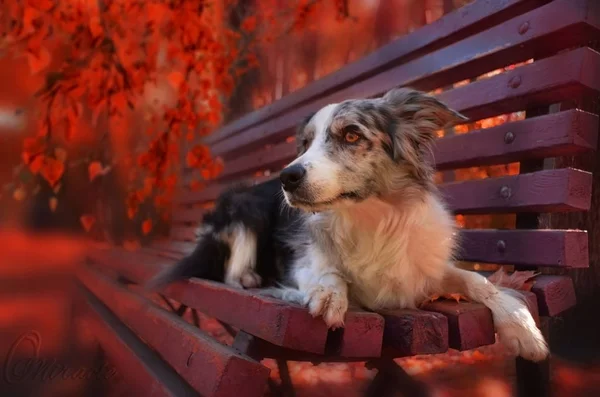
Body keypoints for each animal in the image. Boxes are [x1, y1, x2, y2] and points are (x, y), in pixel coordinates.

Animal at [148, 87, 552, 362]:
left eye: (352, 135)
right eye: (305, 144)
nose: (286, 177)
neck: (369, 219)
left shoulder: (424, 270)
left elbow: (480, 282)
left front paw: (523, 329)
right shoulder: (301, 259)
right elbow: (328, 272)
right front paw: (328, 293)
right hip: (245, 208)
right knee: (232, 269)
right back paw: (254, 280)